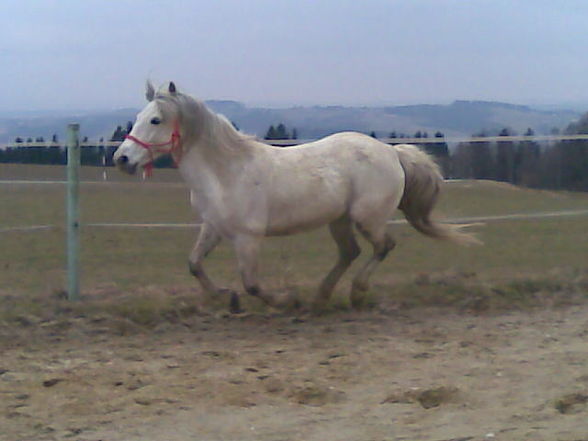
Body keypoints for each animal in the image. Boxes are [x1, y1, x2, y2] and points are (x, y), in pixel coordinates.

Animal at [112, 81, 480, 312]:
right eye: (139, 117)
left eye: (155, 120)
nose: (122, 159)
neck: (226, 172)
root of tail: (392, 152)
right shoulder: (213, 227)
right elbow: (194, 265)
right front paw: (226, 298)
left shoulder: (247, 237)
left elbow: (252, 284)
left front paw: (285, 302)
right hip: (339, 219)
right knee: (350, 252)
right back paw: (321, 297)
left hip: (367, 217)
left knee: (382, 247)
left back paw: (355, 293)